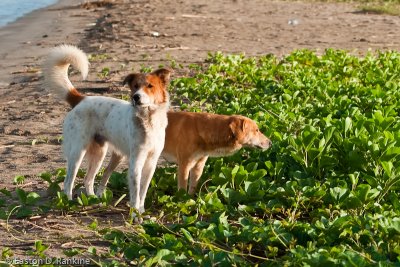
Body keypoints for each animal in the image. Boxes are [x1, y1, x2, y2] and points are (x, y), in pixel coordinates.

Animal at [43, 44, 170, 216]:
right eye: (135, 86)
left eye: (150, 86)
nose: (136, 97)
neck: (148, 120)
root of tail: (81, 99)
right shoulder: (136, 162)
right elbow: (135, 193)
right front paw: (135, 214)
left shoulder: (151, 162)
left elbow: (143, 191)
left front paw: (141, 211)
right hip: (77, 152)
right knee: (68, 181)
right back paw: (69, 203)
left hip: (99, 153)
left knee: (88, 179)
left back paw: (93, 201)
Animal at [97, 111, 272, 197]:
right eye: (257, 130)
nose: (270, 143)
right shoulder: (184, 165)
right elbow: (182, 188)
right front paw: (180, 202)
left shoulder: (199, 166)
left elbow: (192, 187)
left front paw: (191, 200)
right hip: (120, 155)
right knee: (105, 172)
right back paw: (99, 194)